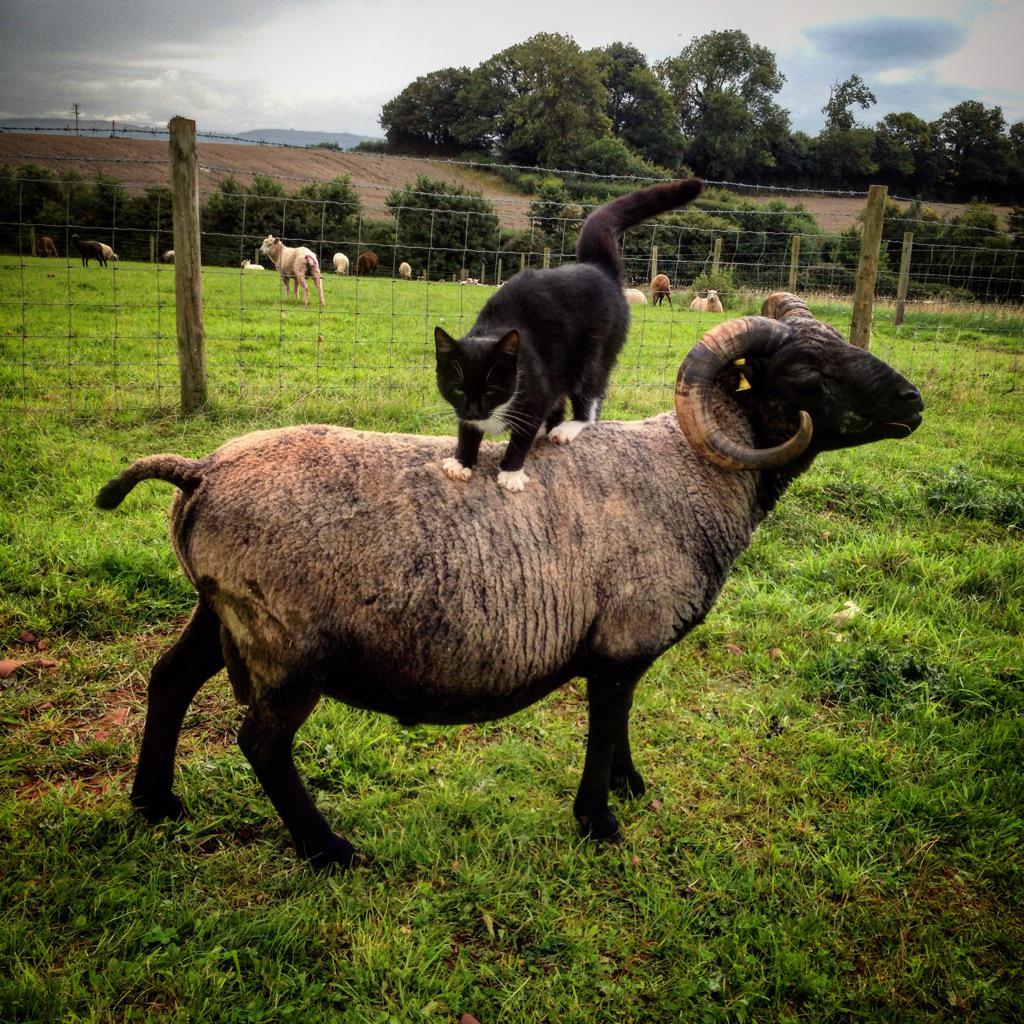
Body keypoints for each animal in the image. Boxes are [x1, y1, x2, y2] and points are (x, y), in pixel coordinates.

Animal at [96, 292, 924, 870]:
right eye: (807, 371)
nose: (914, 403)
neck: (696, 468)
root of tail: (200, 470)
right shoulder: (620, 644)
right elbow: (603, 727)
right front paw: (600, 823)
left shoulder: (624, 646)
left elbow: (623, 723)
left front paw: (630, 787)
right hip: (286, 644)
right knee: (262, 742)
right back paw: (330, 851)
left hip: (219, 611)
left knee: (169, 680)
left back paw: (156, 803)